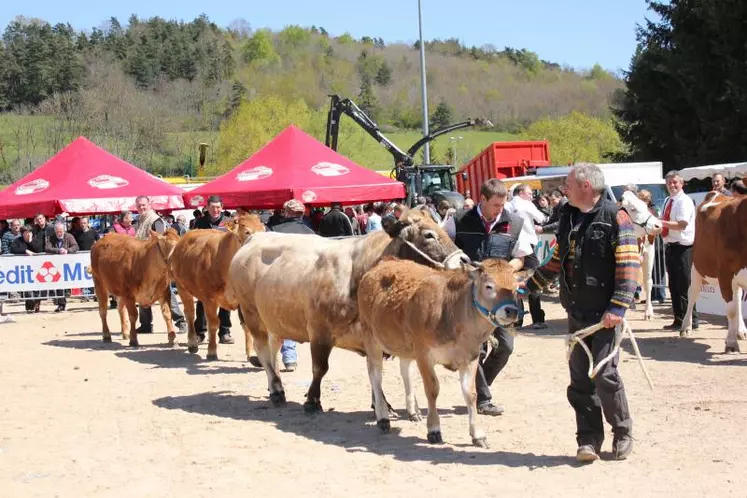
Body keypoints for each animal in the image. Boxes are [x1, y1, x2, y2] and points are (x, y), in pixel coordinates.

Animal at [169, 212, 266, 360]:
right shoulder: (210, 298)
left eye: (264, 230)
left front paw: (252, 354)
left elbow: (247, 326)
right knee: (190, 313)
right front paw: (211, 351)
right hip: (182, 287)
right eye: (247, 232)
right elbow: (213, 323)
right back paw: (192, 343)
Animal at [225, 207, 470, 412]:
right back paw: (276, 390)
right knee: (262, 349)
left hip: (275, 317)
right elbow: (320, 368)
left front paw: (382, 404)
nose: (465, 260)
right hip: (252, 313)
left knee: (273, 348)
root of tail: (254, 238)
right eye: (429, 235)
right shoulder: (319, 330)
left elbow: (374, 370)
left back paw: (274, 385)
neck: (360, 271)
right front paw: (312, 400)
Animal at [358, 258, 524, 450]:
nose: (511, 311)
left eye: (515, 288)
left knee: (405, 369)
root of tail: (384, 262)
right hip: (371, 336)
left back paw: (413, 411)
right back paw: (383, 418)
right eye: (489, 286)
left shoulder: (470, 357)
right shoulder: (424, 354)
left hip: (405, 344)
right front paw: (434, 430)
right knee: (375, 375)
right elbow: (432, 389)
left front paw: (478, 434)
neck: (450, 311)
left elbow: (470, 393)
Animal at [684, 191, 747, 350]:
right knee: (692, 294)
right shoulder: (725, 274)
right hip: (697, 266)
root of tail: (715, 193)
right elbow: (731, 310)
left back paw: (741, 330)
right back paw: (685, 327)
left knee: (738, 298)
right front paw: (731, 342)